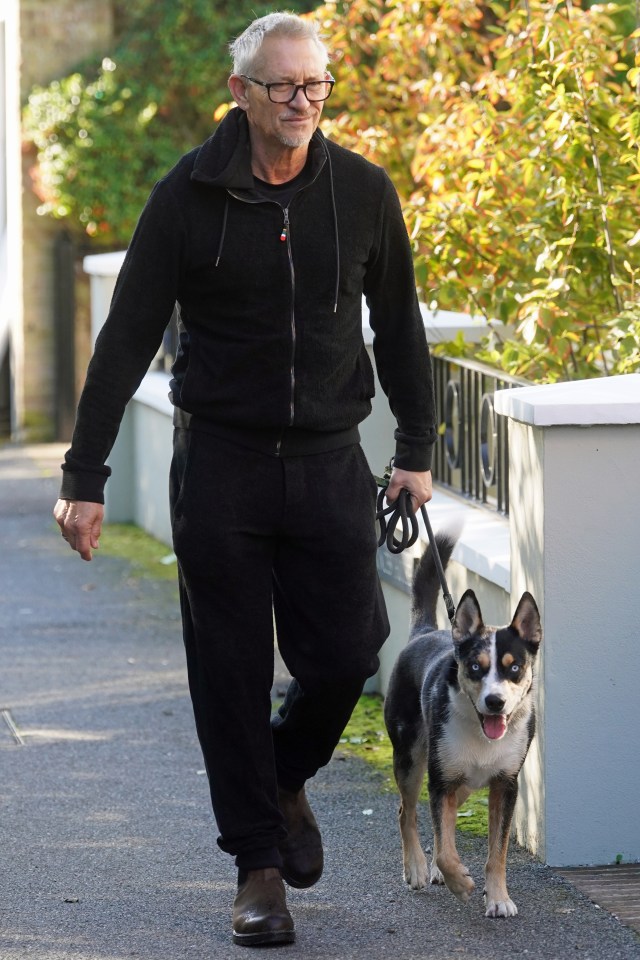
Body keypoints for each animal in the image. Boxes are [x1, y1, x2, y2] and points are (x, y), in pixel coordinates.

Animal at [382, 528, 544, 920]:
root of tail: (425, 631)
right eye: (475, 667)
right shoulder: (440, 780)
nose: (495, 702)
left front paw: (498, 898)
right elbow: (443, 846)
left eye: (514, 667)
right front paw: (458, 881)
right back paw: (417, 868)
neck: (480, 733)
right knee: (407, 812)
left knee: (446, 820)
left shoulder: (506, 784)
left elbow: (496, 852)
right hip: (412, 759)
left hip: (464, 780)